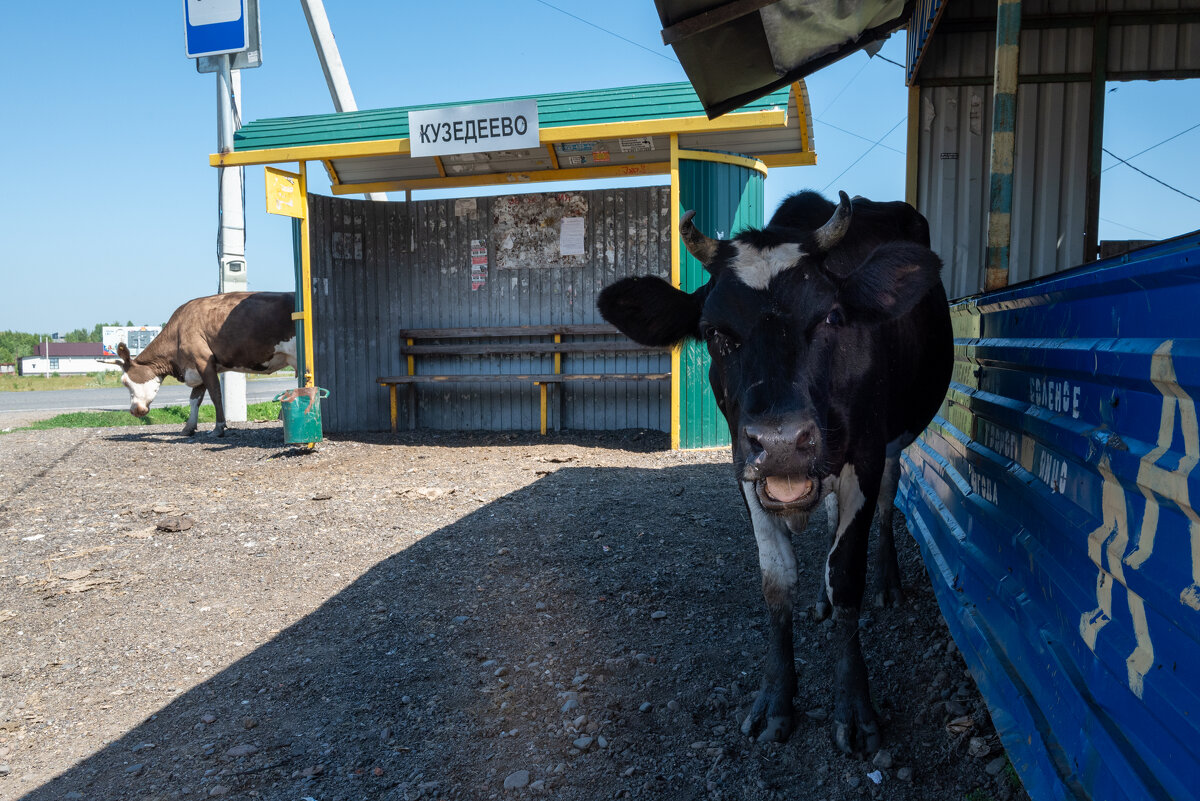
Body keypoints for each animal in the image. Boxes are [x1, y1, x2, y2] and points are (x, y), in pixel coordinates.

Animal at [600, 190, 955, 753]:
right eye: (714, 332)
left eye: (832, 317)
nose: (783, 442)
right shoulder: (744, 470)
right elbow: (776, 580)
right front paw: (776, 701)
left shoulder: (865, 455)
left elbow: (847, 574)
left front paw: (854, 708)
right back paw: (822, 601)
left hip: (893, 442)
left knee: (885, 501)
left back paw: (888, 583)